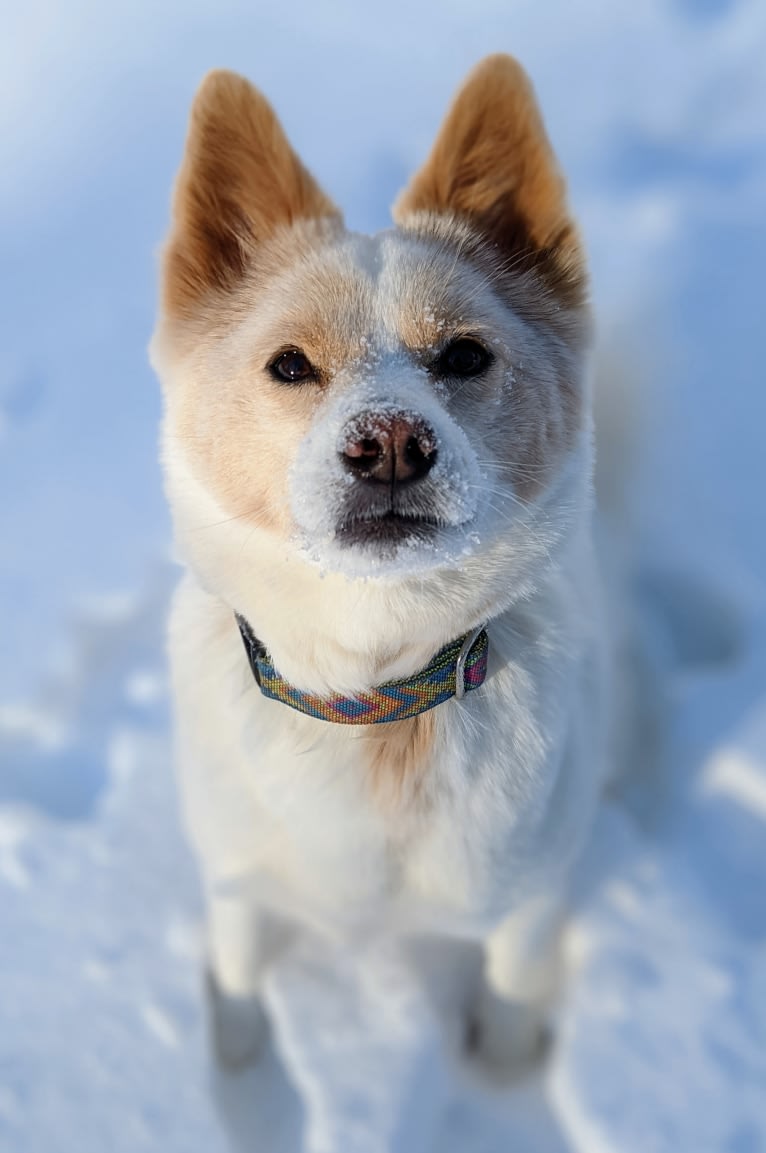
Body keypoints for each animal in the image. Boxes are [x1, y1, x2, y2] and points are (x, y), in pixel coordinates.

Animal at [151, 56, 609, 1069]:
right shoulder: (234, 872)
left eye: (466, 354)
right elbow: (237, 962)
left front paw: (505, 1062)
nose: (390, 442)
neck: (372, 697)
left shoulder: (538, 884)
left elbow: (514, 976)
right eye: (290, 365)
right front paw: (236, 1049)